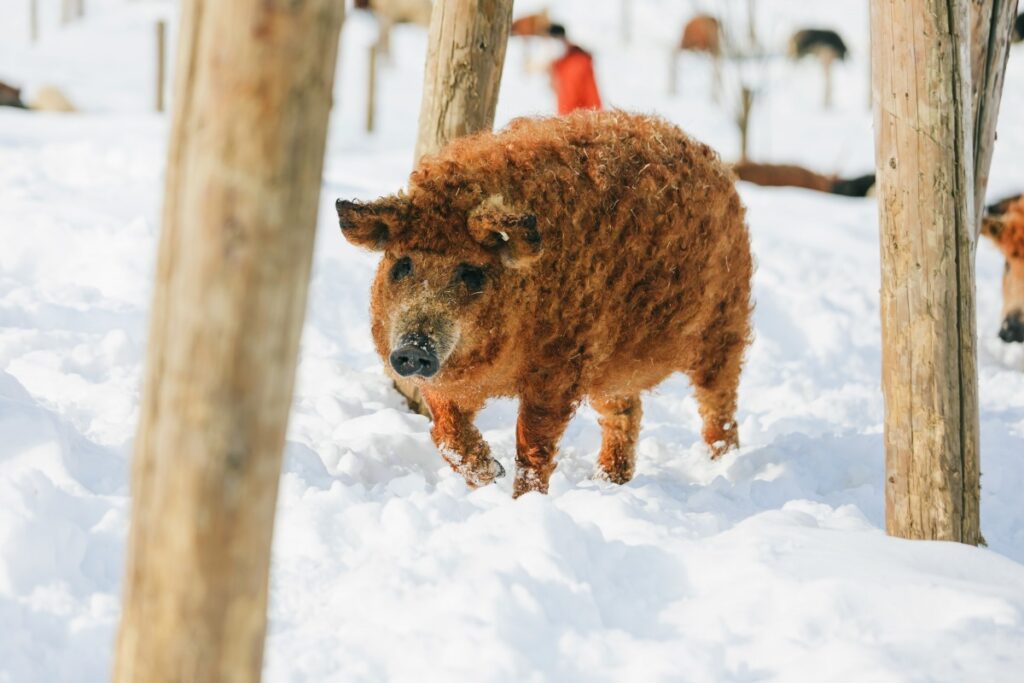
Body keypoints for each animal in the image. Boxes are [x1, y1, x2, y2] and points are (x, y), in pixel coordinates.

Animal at [335, 112, 753, 497]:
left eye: (471, 272)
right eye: (402, 264)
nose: (414, 348)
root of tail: (715, 162)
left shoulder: (561, 363)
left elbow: (534, 441)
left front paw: (522, 499)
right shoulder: (445, 381)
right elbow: (445, 432)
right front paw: (491, 476)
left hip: (724, 321)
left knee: (719, 404)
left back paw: (724, 467)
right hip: (613, 364)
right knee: (625, 410)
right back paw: (606, 482)